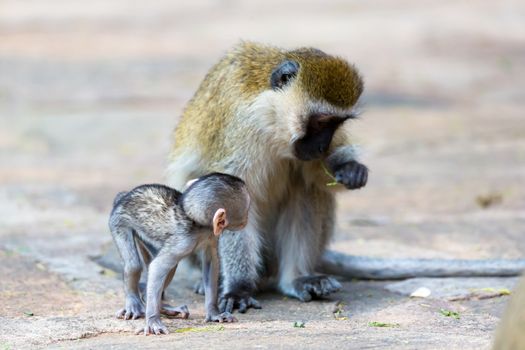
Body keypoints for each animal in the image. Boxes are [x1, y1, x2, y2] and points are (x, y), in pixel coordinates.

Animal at [108, 174, 250, 334]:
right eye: (246, 212)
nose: (247, 219)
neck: (193, 220)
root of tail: (123, 197)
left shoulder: (211, 236)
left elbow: (210, 263)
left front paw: (214, 313)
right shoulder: (184, 241)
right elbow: (157, 267)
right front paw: (153, 321)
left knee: (168, 269)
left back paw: (161, 307)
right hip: (118, 222)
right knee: (134, 265)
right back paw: (135, 304)